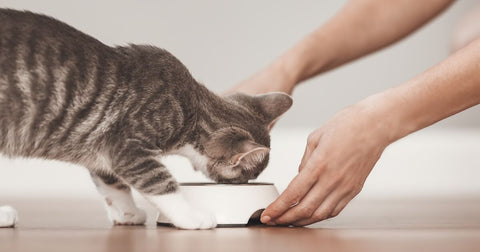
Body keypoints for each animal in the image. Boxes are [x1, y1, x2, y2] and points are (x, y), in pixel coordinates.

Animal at [0, 8, 292, 229]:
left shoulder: (102, 149)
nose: (246, 184)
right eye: (246, 175)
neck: (193, 107)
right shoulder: (126, 145)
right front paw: (192, 216)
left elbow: (113, 182)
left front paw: (127, 212)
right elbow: (158, 180)